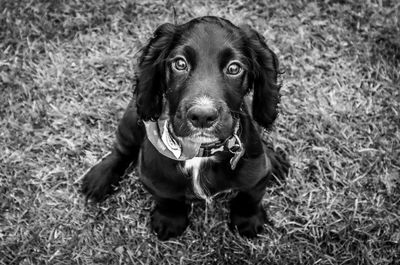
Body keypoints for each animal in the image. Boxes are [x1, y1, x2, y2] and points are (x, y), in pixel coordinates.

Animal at [81, 16, 290, 239]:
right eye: (180, 63)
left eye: (234, 68)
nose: (202, 117)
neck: (199, 152)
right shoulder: (153, 176)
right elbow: (165, 197)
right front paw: (170, 220)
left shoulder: (257, 173)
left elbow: (251, 195)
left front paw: (248, 220)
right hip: (132, 116)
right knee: (122, 149)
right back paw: (100, 177)